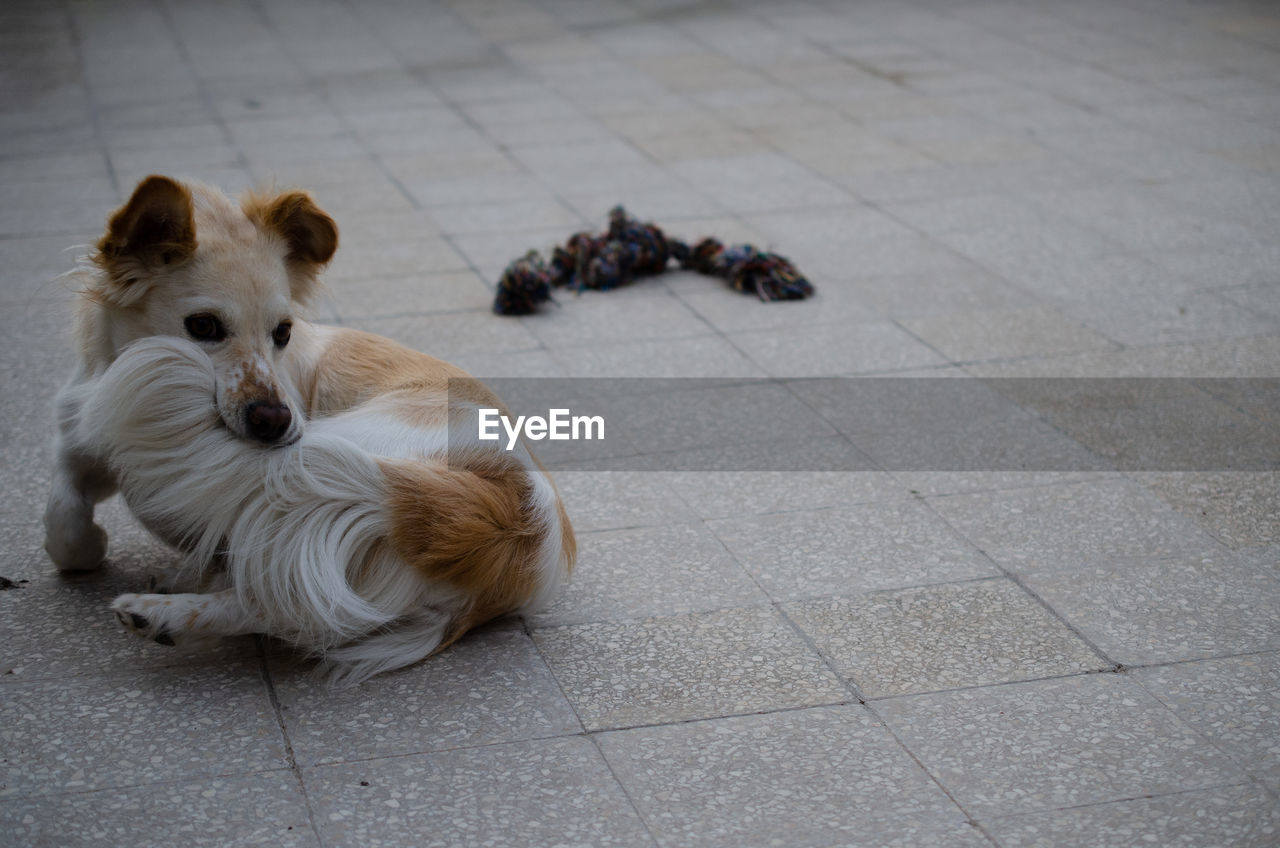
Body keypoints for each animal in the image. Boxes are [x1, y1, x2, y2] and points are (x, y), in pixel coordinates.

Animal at [43, 175, 576, 686]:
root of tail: (514, 514)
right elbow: (63, 518)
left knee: (266, 593)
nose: (276, 423)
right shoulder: (78, 447)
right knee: (283, 607)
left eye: (283, 331)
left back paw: (162, 610)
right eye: (203, 326)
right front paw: (87, 547)